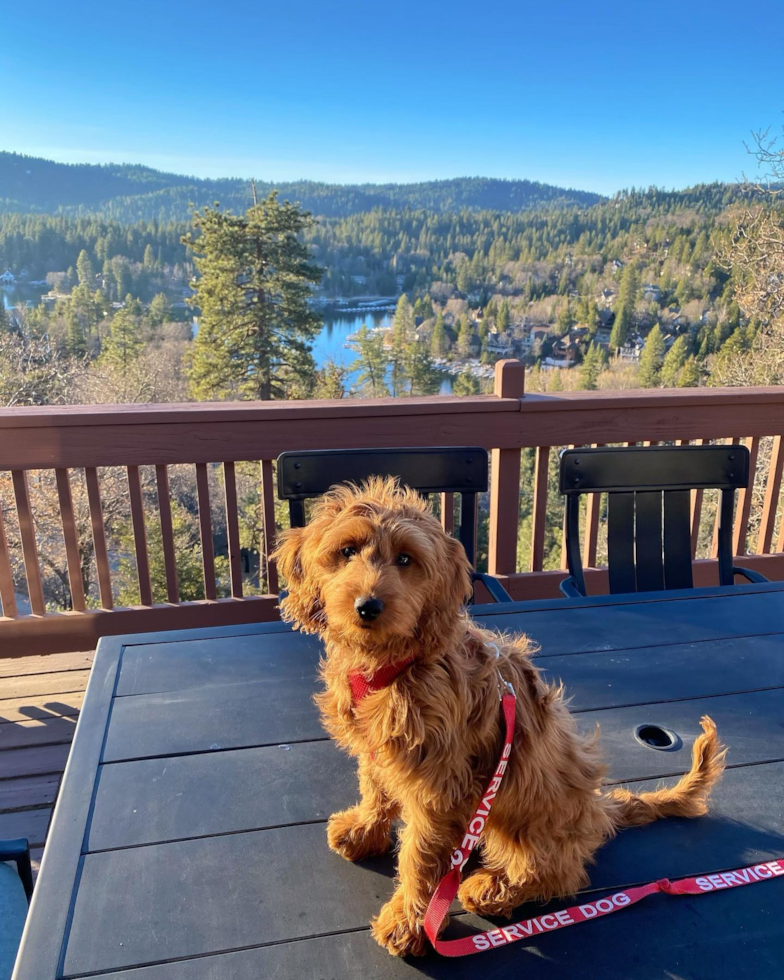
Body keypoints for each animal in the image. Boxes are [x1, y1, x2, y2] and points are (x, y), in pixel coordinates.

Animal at [272, 480, 724, 956]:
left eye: (405, 559)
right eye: (347, 550)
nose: (368, 606)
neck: (396, 665)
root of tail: (598, 809)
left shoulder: (440, 784)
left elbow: (420, 854)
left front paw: (409, 921)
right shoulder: (380, 748)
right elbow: (375, 787)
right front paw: (364, 830)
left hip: (525, 813)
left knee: (559, 871)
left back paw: (495, 886)